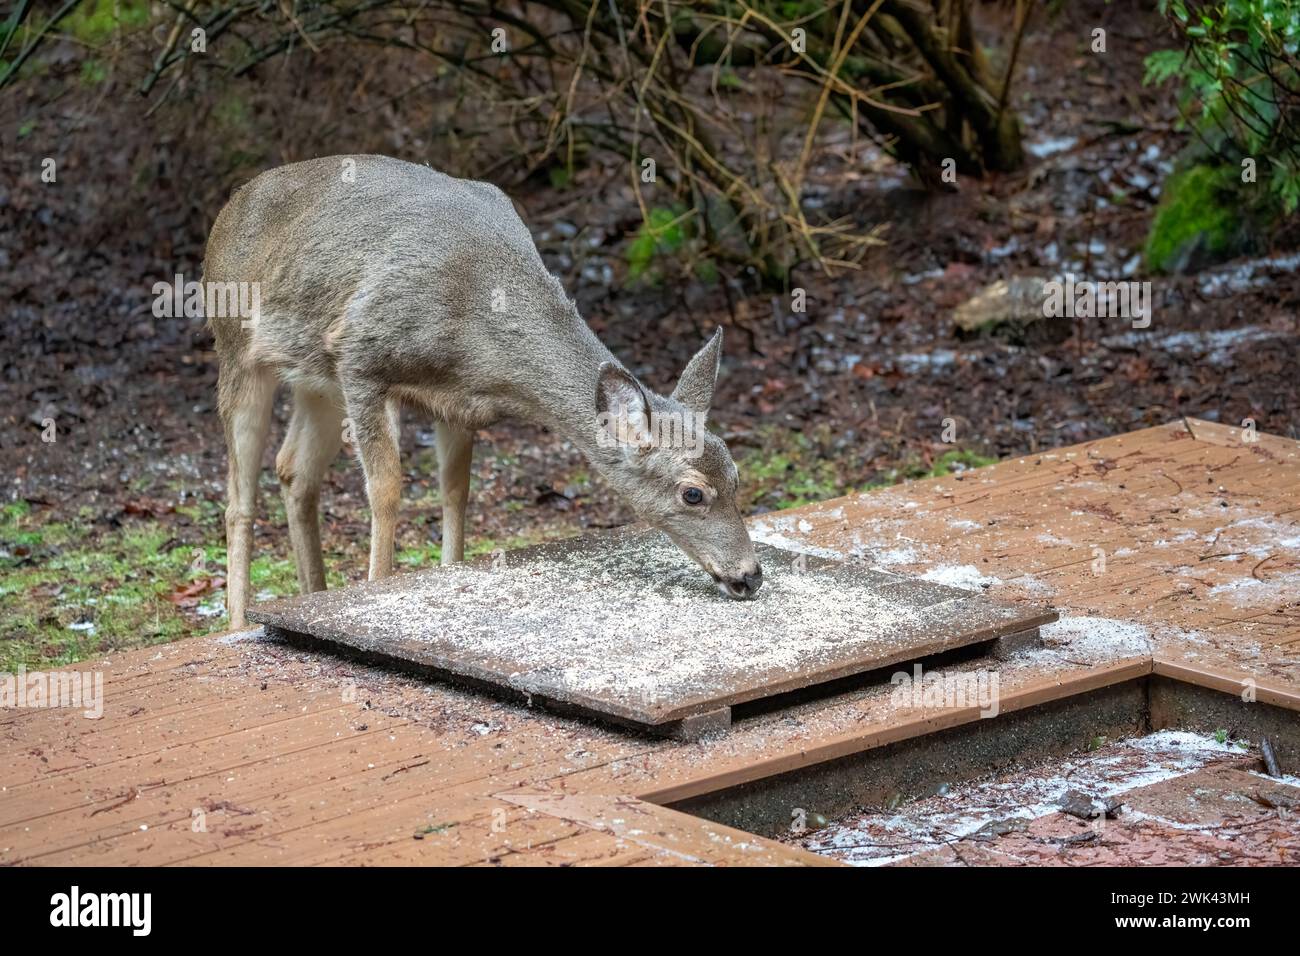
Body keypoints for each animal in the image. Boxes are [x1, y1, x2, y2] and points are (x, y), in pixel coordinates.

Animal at [205, 155, 763, 630]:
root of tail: (230, 207)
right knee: (239, 497)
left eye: (737, 477)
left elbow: (455, 491)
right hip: (237, 348)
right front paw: (375, 589)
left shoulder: (458, 403)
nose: (750, 575)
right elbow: (386, 490)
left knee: (293, 470)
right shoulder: (360, 356)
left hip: (314, 379)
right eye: (693, 493)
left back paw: (312, 591)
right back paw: (238, 623)